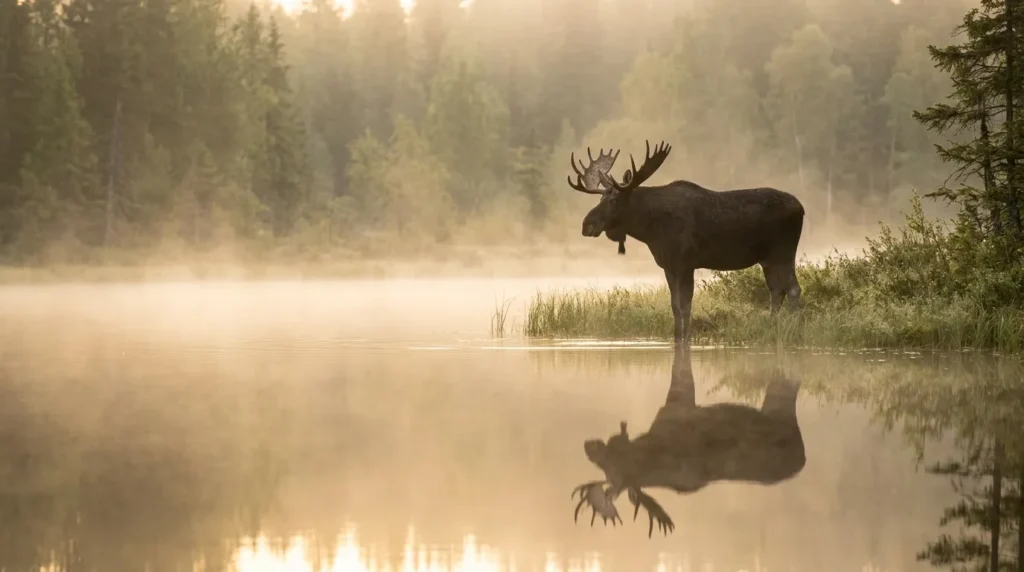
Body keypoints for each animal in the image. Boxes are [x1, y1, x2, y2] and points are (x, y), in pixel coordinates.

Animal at [567, 141, 806, 345]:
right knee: (776, 290)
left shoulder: (685, 262)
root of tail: (801, 208)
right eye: (600, 198)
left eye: (614, 200)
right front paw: (677, 337)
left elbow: (685, 305)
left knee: (793, 289)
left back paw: (794, 330)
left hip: (783, 250)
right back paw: (772, 326)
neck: (650, 229)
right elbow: (675, 305)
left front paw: (686, 338)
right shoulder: (668, 266)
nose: (587, 225)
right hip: (767, 258)